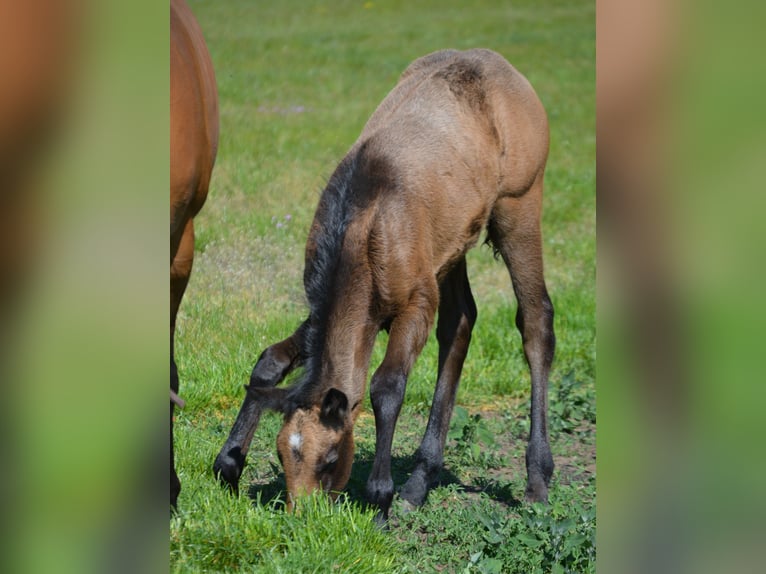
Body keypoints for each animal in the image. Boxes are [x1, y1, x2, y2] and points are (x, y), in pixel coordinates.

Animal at [214, 48, 555, 520]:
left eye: (331, 459)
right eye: (282, 454)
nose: (303, 517)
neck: (359, 226)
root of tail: (503, 65)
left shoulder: (415, 301)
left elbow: (386, 385)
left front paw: (379, 498)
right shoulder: (340, 308)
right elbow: (270, 361)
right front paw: (228, 463)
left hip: (518, 205)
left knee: (535, 318)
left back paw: (537, 478)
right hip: (451, 246)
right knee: (461, 320)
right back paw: (421, 480)